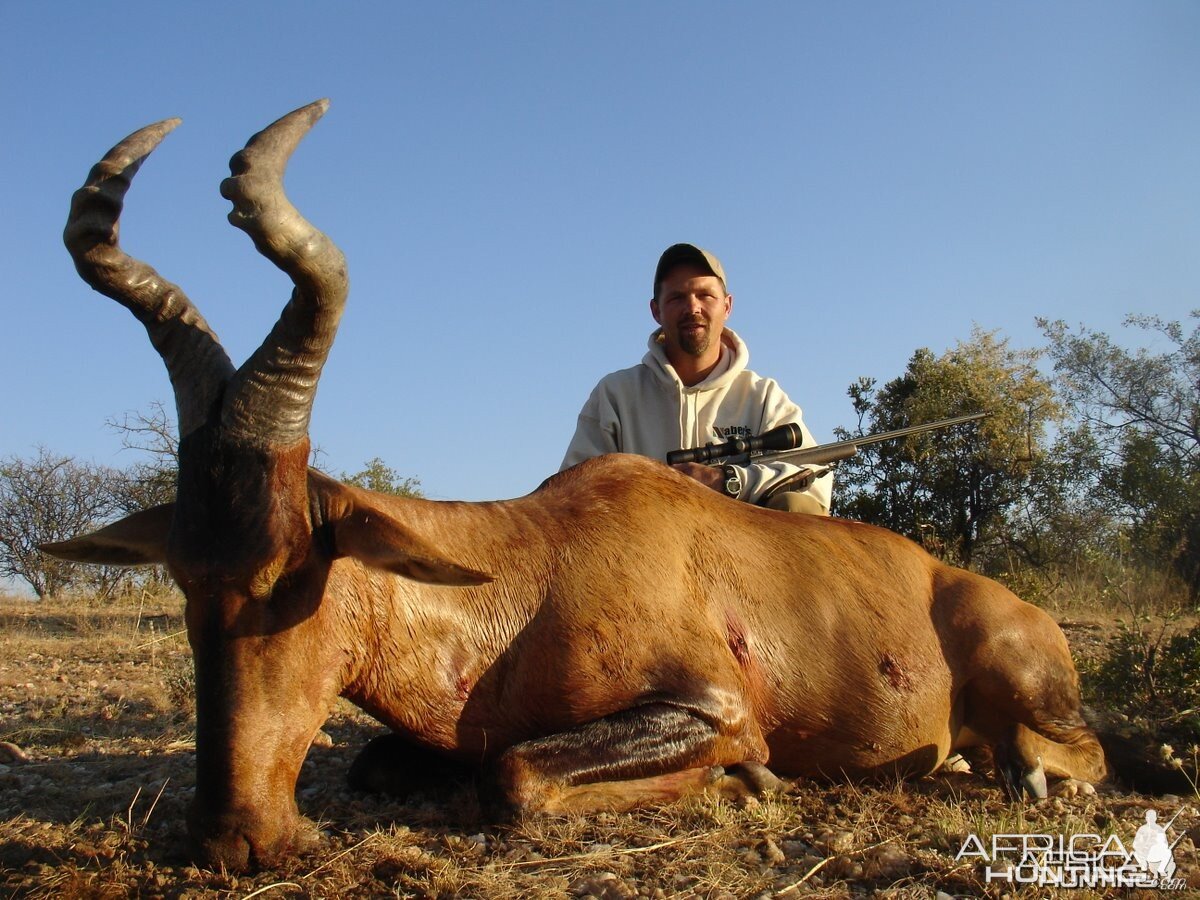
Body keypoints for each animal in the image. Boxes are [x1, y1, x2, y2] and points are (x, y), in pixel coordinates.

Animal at [51, 100, 1108, 873]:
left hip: (1026, 680)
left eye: (288, 570)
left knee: (1079, 754)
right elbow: (400, 765)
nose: (232, 840)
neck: (531, 569)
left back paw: (1026, 772)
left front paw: (751, 784)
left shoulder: (713, 706)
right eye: (184, 576)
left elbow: (518, 779)